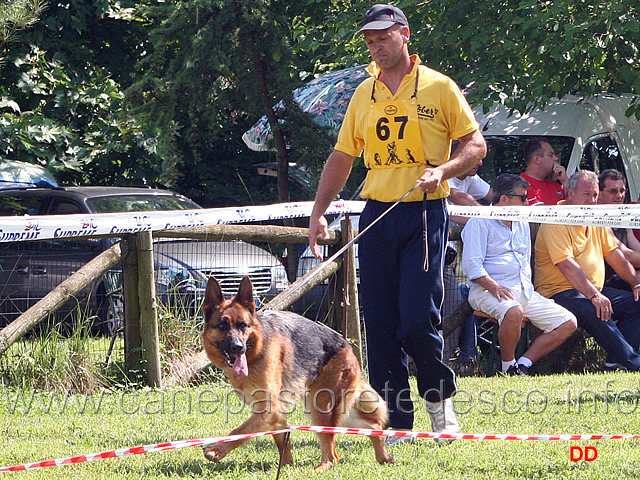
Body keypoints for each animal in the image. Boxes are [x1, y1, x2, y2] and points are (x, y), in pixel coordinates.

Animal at [200, 276, 392, 470]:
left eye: (243, 325)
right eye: (222, 325)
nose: (238, 347)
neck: (257, 350)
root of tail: (348, 348)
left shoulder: (270, 409)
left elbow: (241, 431)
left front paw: (216, 449)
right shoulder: (272, 411)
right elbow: (281, 439)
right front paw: (285, 466)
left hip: (321, 407)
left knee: (332, 456)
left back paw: (320, 468)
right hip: (335, 409)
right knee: (374, 425)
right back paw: (383, 456)